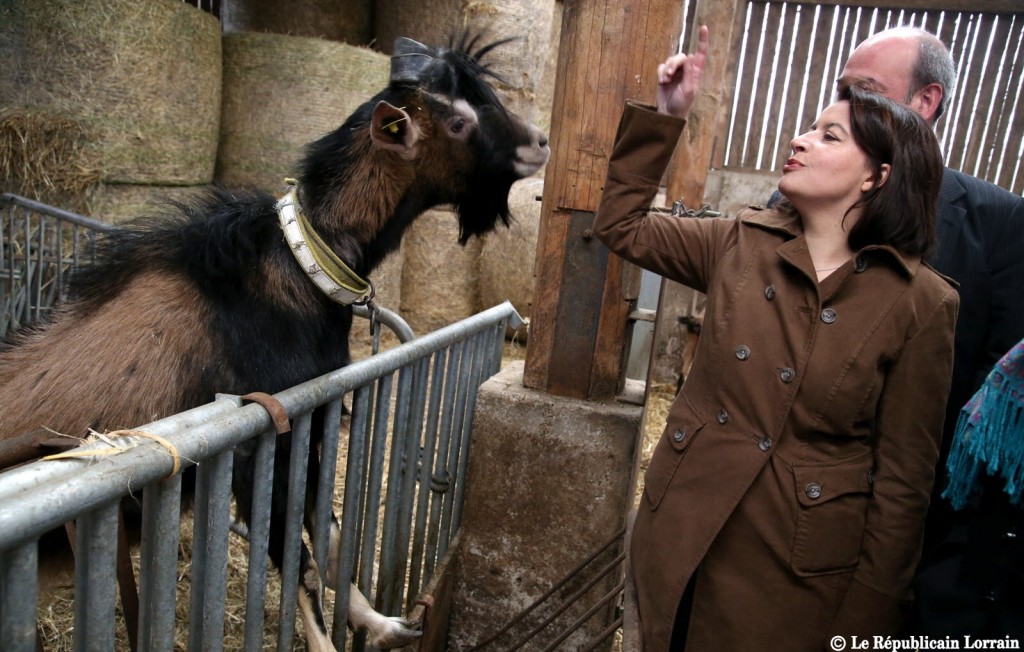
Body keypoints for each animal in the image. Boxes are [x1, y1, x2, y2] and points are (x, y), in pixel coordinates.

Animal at [0, 35, 548, 650]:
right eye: (458, 121)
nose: (541, 142)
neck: (299, 268)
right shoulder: (256, 449)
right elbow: (301, 564)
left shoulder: (307, 430)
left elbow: (331, 540)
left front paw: (382, 624)